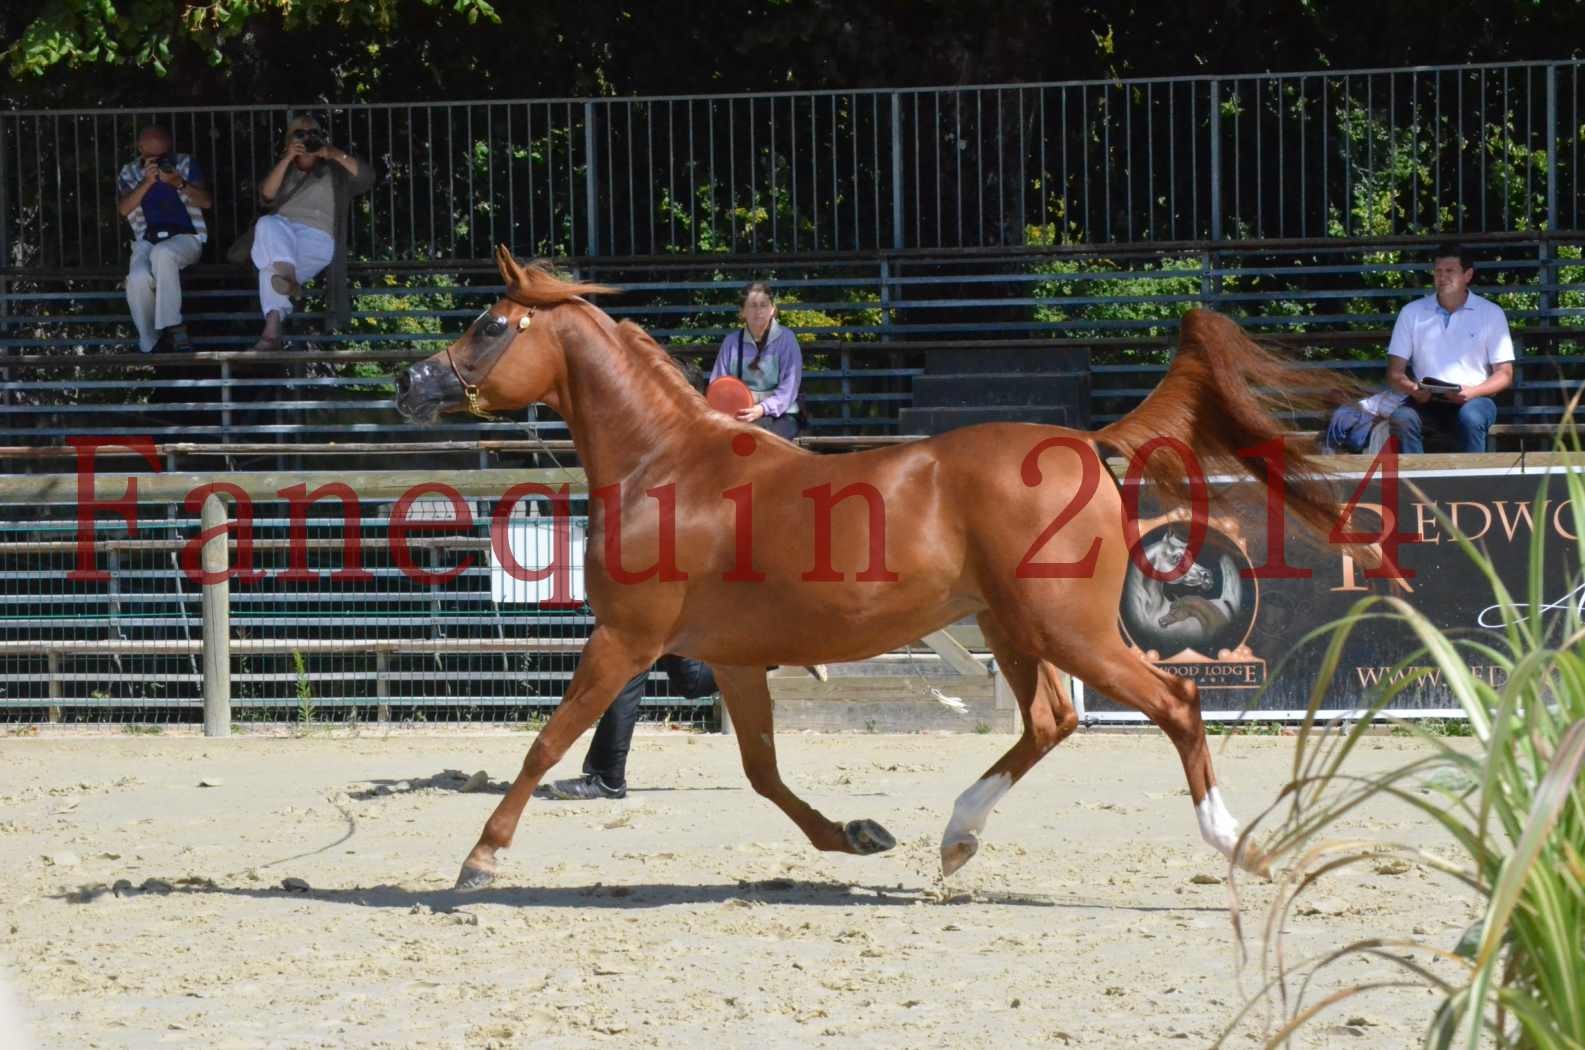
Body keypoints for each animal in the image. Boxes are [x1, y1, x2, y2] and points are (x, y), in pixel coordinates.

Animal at [393, 249, 1363, 894]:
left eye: (490, 325)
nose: (409, 384)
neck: (666, 467)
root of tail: (1086, 443)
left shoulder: (625, 640)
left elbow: (546, 741)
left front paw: (478, 859)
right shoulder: (733, 661)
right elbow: (762, 772)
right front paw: (857, 835)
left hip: (1067, 630)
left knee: (1175, 702)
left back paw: (1236, 844)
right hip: (1016, 629)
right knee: (1049, 721)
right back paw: (955, 839)